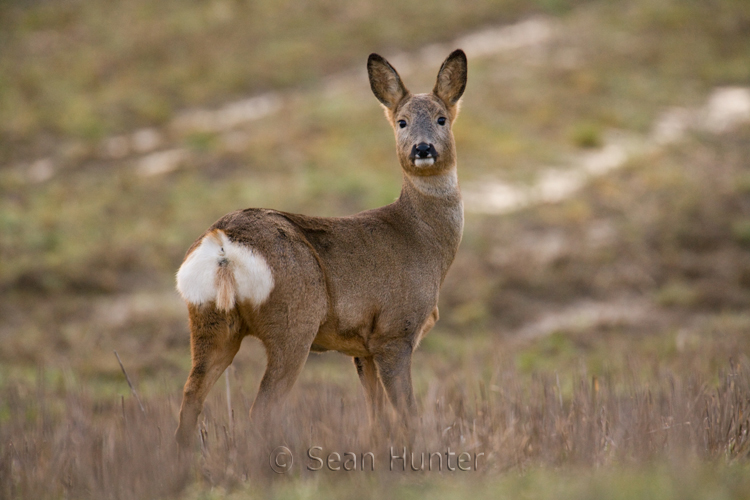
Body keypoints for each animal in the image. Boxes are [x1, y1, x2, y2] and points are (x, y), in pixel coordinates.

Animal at [177, 48, 470, 448]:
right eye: (402, 122)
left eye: (442, 118)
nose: (422, 149)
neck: (423, 240)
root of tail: (221, 243)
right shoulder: (395, 331)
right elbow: (406, 413)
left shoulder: (362, 347)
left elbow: (376, 416)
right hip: (294, 322)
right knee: (260, 409)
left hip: (208, 320)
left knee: (190, 400)